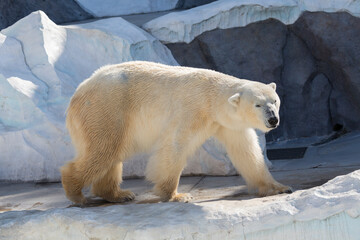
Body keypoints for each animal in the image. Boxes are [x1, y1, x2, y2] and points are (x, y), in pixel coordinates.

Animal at [60, 61, 292, 203]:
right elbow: (175, 145)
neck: (212, 97)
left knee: (111, 155)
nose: (273, 119)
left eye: (274, 101)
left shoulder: (228, 124)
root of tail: (77, 93)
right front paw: (175, 195)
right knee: (103, 149)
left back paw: (119, 194)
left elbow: (246, 152)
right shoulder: (193, 110)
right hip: (106, 109)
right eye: (257, 105)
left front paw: (279, 187)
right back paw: (77, 193)